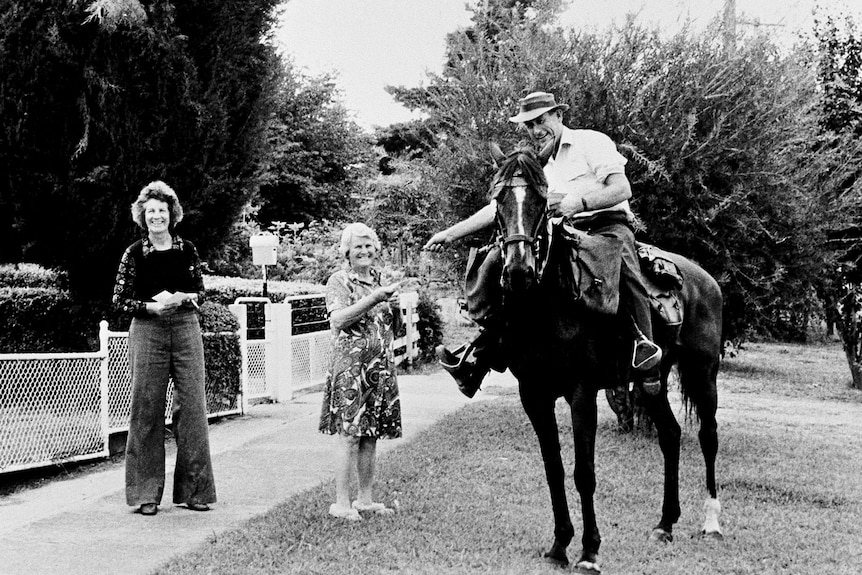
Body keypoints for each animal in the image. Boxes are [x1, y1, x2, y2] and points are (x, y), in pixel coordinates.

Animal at [490, 144, 724, 572]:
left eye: (541, 201)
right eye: (498, 201)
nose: (518, 271)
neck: (549, 308)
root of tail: (705, 279)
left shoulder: (582, 393)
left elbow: (584, 472)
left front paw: (589, 550)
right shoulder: (534, 394)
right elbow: (554, 468)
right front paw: (559, 545)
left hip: (703, 372)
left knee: (708, 436)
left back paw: (711, 521)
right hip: (652, 380)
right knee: (670, 434)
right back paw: (665, 524)